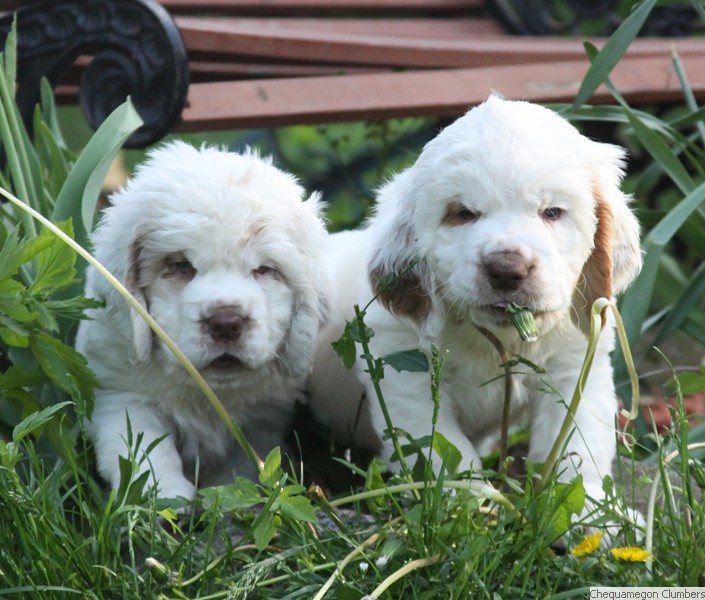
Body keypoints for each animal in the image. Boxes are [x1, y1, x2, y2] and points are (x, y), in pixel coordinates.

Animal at [306, 97, 640, 516]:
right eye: (463, 213)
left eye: (551, 212)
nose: (507, 270)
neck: (497, 339)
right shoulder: (409, 378)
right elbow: (446, 453)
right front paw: (470, 508)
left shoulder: (577, 366)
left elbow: (577, 448)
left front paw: (592, 514)